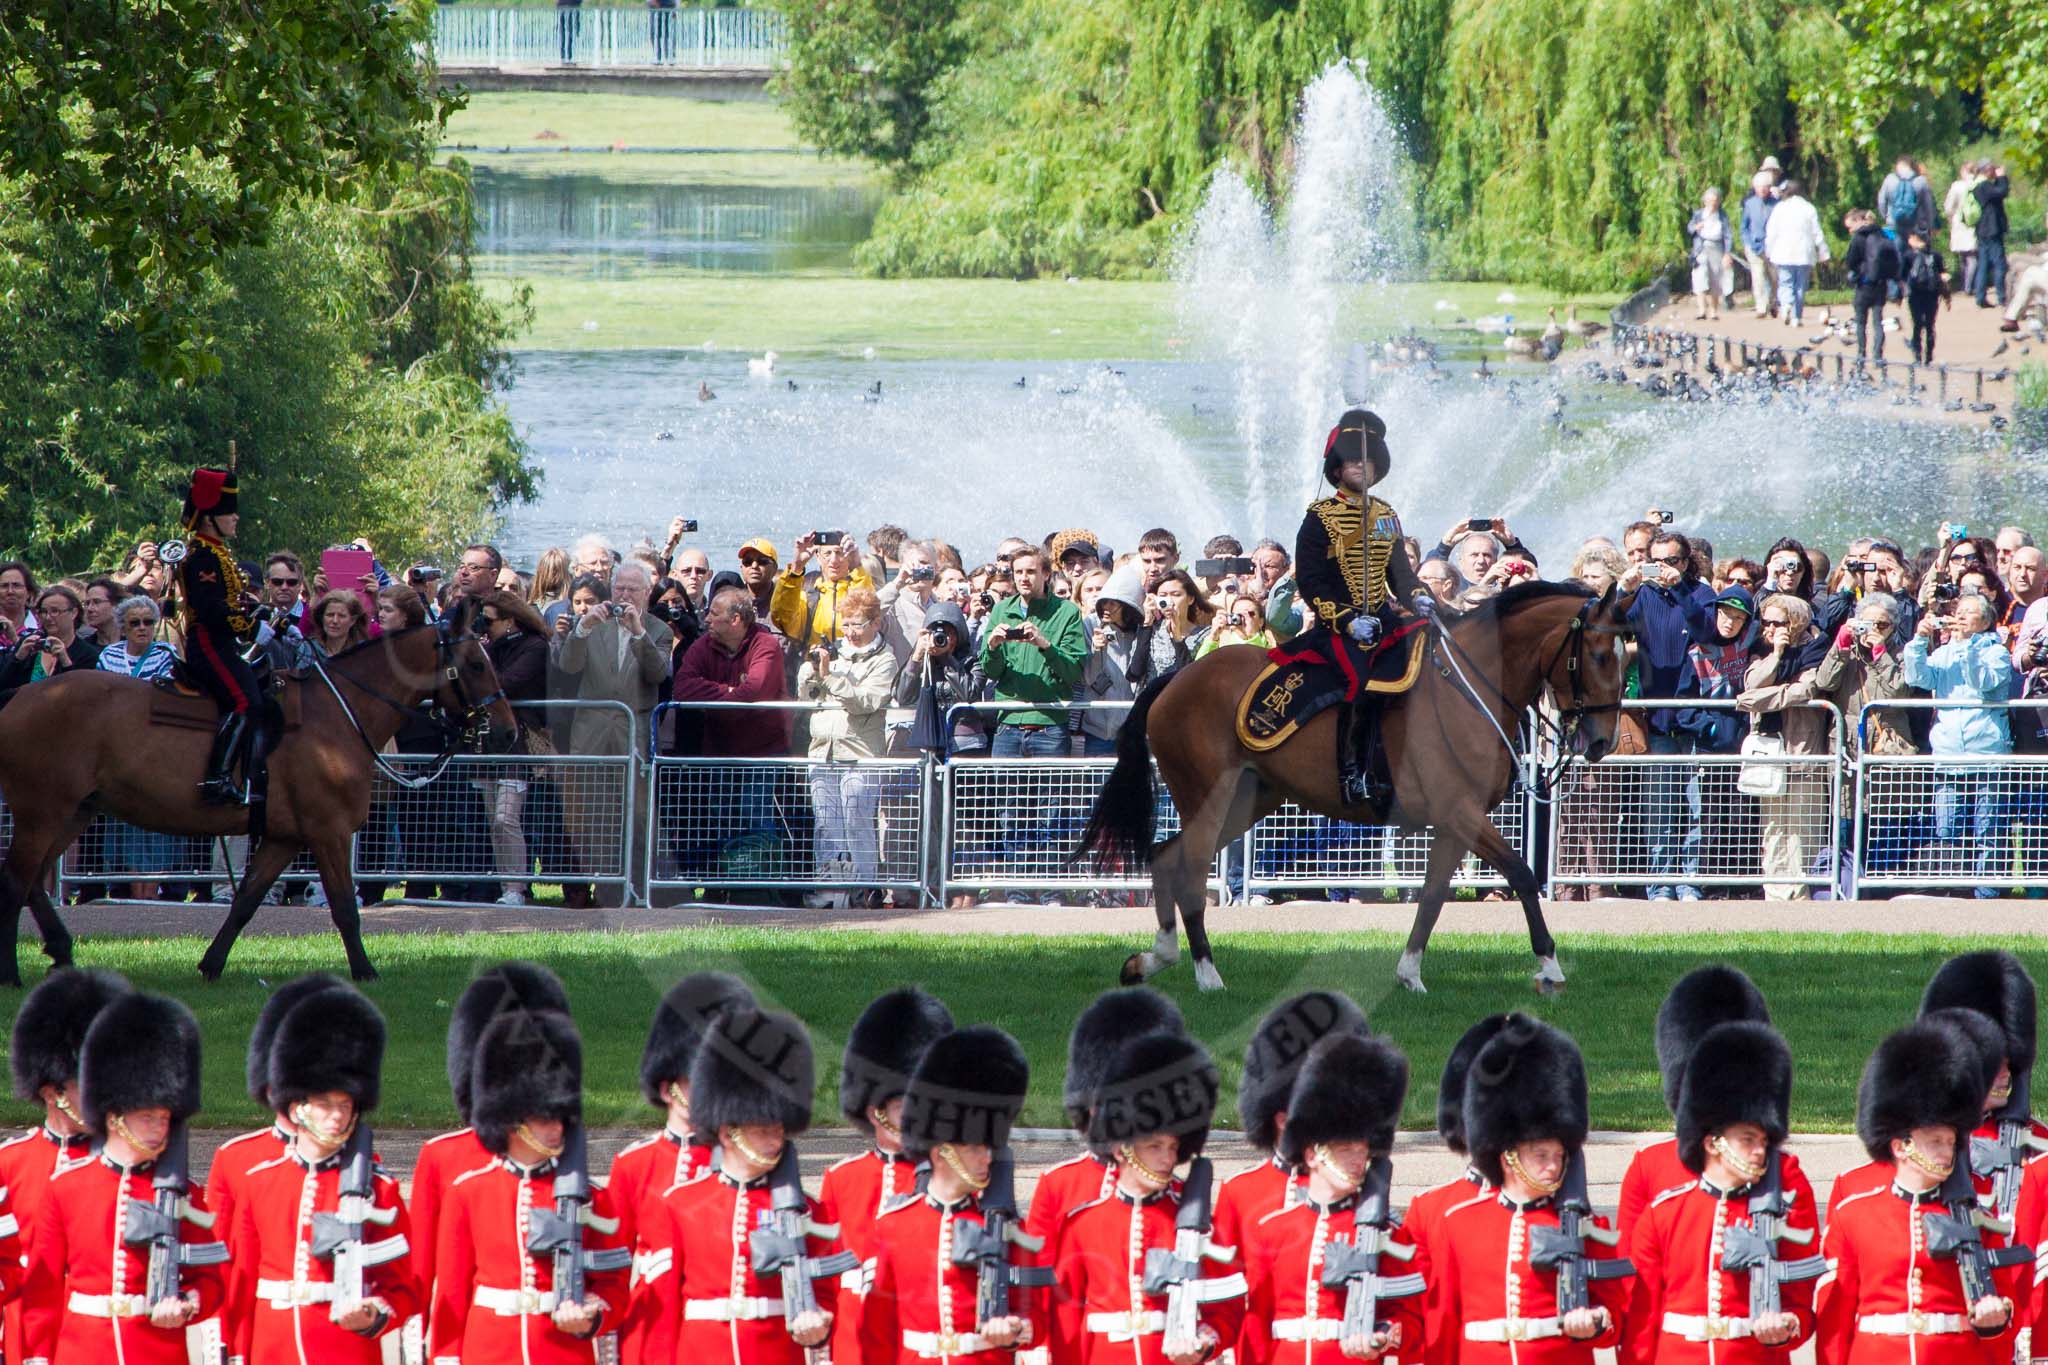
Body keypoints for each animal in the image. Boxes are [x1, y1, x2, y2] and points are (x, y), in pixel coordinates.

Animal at [0, 597, 518, 986]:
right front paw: (365, 970)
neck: (338, 715)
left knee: (33, 881)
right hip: (44, 813)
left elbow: (247, 900)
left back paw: (61, 950)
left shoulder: (284, 838)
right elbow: (345, 909)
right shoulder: (328, 834)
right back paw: (16, 971)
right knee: (17, 881)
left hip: (75, 813)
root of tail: (20, 696)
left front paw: (211, 964)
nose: (508, 732)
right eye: (476, 664)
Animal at [1073, 581, 1634, 994]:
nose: (1602, 740)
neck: (1468, 688)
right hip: (1209, 799)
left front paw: (1409, 974)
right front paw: (1550, 967)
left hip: (1248, 801)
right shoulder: (1461, 812)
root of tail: (1177, 678)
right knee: (1187, 870)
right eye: (1600, 655)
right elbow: (1520, 874)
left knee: (1167, 857)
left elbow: (1433, 896)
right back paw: (1207, 975)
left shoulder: (1455, 822)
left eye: (1627, 655)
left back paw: (1155, 959)